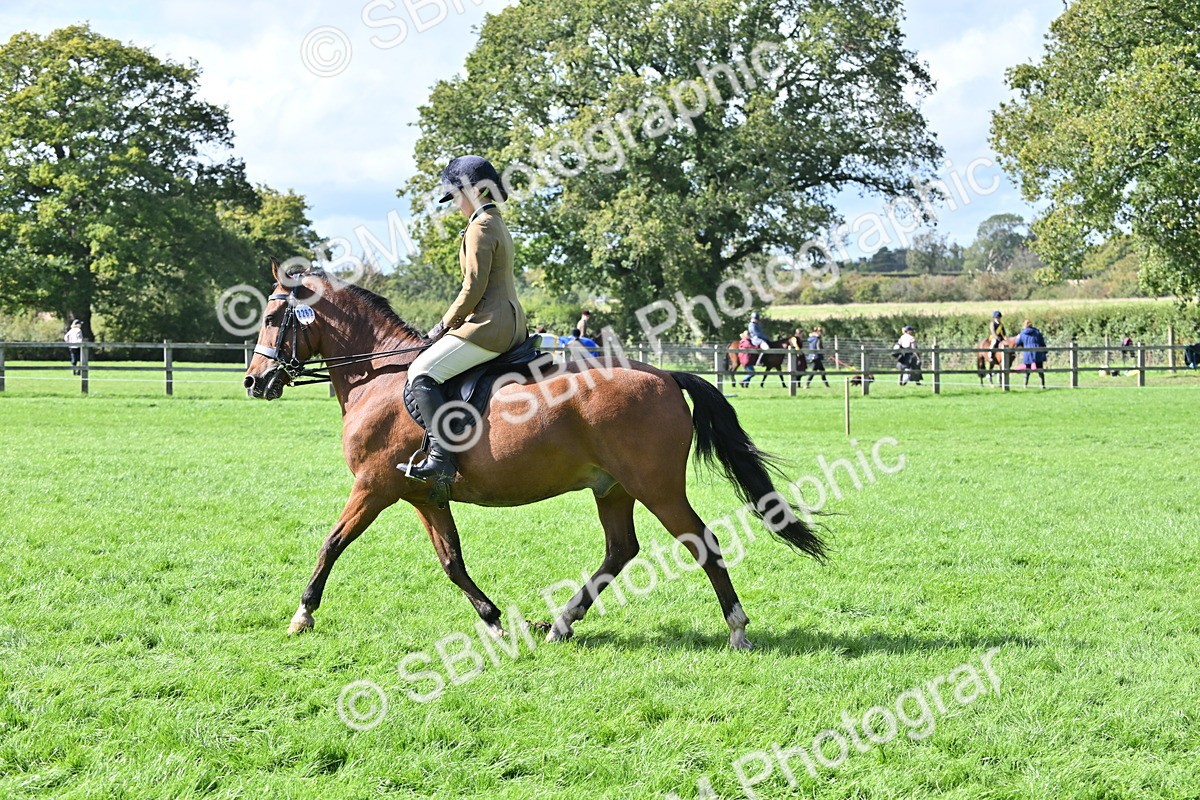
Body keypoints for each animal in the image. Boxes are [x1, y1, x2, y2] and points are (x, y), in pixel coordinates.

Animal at [243, 263, 826, 650]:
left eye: (272, 316)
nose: (254, 382)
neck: (381, 378)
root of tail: (663, 375)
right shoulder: (424, 496)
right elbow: (452, 561)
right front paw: (494, 619)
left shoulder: (373, 487)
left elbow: (331, 544)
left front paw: (302, 614)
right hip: (613, 488)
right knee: (621, 550)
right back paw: (560, 624)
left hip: (655, 487)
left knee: (701, 541)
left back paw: (737, 629)